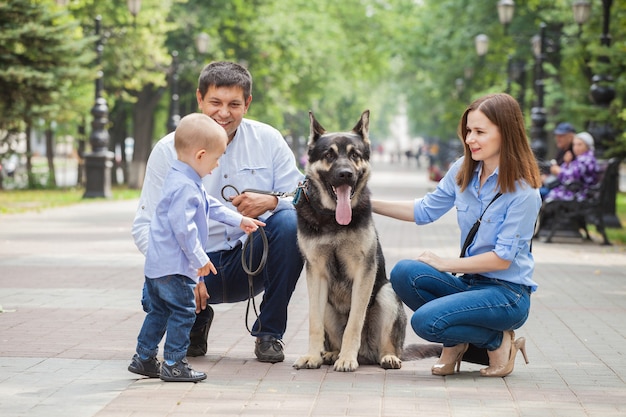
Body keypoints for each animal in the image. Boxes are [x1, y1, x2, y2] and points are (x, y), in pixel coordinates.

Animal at [290, 110, 408, 370]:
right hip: (327, 305)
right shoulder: (316, 273)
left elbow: (354, 322)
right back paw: (330, 354)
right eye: (329, 155)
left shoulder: (364, 271)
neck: (333, 219)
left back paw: (386, 357)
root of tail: (367, 355)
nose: (345, 174)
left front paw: (346, 359)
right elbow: (314, 323)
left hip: (387, 294)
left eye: (355, 155)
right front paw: (313, 356)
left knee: (388, 345)